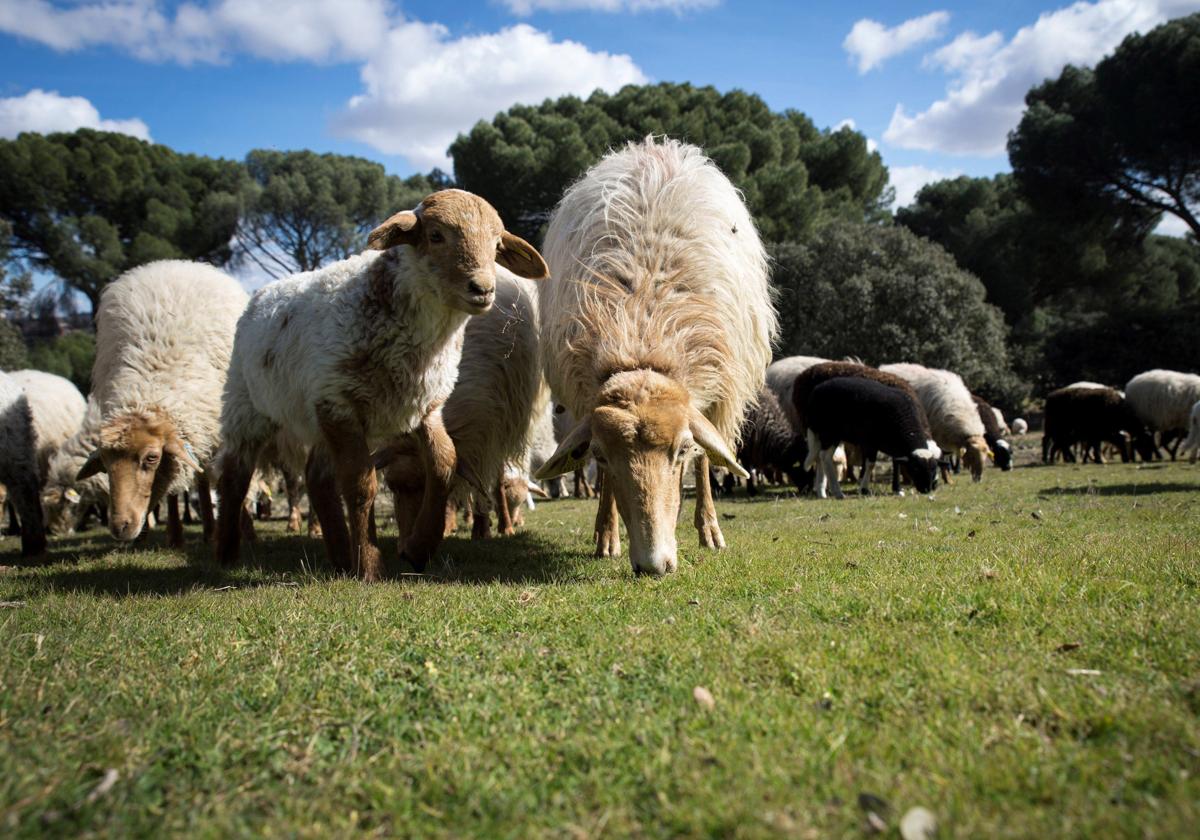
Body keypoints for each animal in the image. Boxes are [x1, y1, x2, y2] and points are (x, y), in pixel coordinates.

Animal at [75, 259, 248, 547]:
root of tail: (171, 264)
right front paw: (174, 534)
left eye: (151, 458)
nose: (120, 527)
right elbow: (173, 491)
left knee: (203, 476)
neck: (152, 382)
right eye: (106, 465)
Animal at [379, 265, 544, 547]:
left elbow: (488, 482)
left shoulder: (488, 426)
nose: (407, 546)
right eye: (392, 486)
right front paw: (448, 526)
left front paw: (486, 526)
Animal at [535, 139, 777, 578]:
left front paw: (709, 529)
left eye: (681, 449)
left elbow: (705, 459)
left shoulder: (716, 394)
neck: (642, 332)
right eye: (601, 455)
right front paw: (606, 535)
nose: (654, 564)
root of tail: (652, 147)